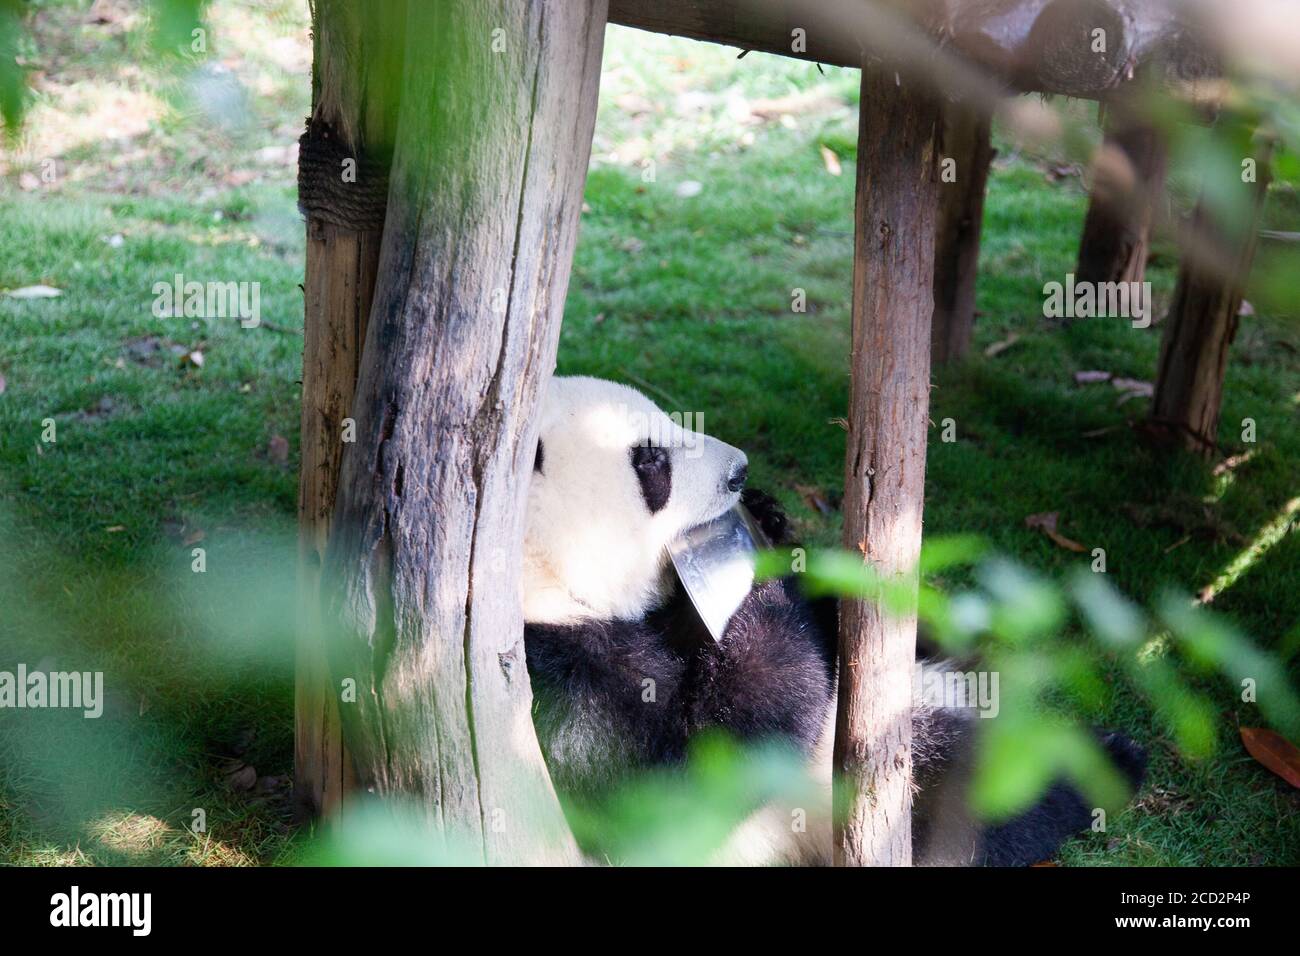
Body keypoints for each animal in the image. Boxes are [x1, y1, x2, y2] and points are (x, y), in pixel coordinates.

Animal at [517, 374, 1138, 868]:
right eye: (652, 462)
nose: (740, 472)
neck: (544, 576)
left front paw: (770, 524)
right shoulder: (553, 688)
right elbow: (678, 788)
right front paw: (761, 589)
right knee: (973, 792)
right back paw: (1108, 762)